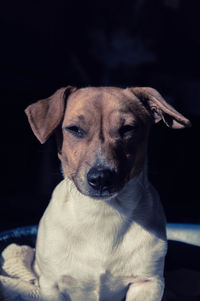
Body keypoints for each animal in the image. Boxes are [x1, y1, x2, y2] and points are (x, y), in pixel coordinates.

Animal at [25, 85, 191, 298]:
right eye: (74, 129)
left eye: (127, 128)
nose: (101, 178)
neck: (102, 214)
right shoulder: (52, 285)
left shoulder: (147, 283)